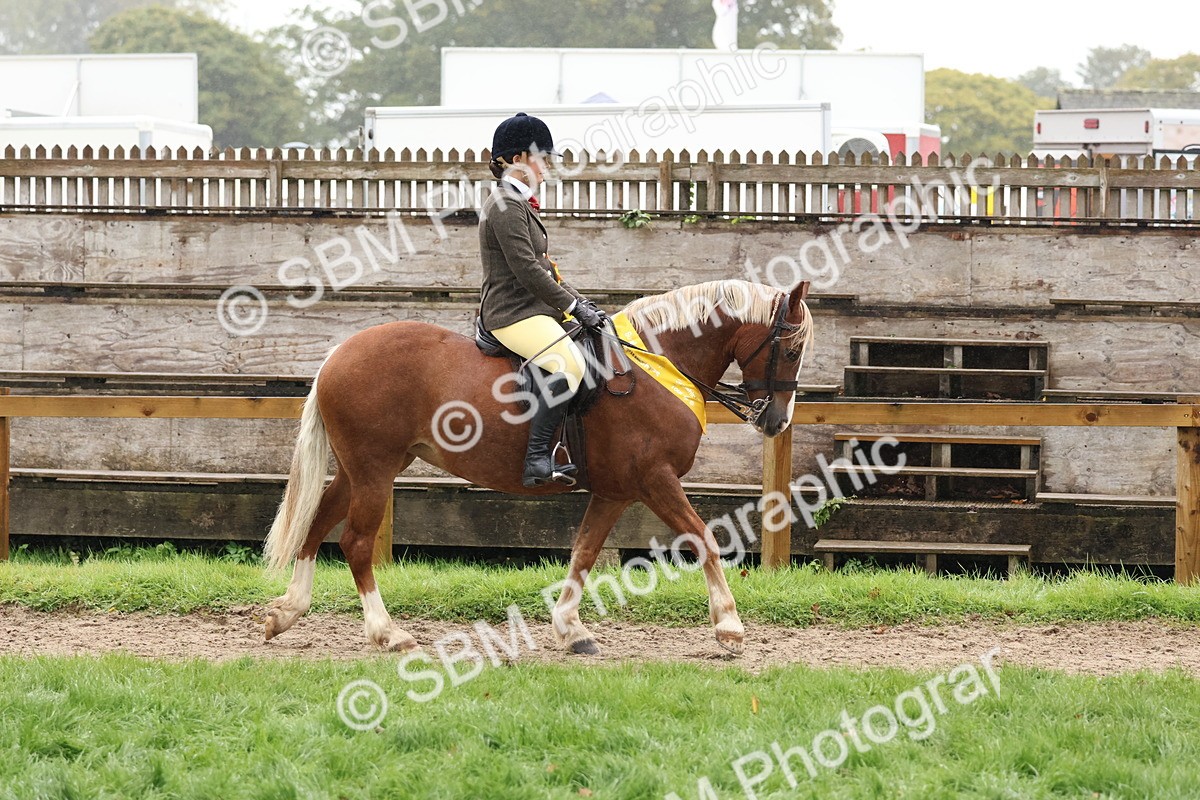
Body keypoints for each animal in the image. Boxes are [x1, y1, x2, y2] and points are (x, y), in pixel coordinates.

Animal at [261, 278, 813, 655]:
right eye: (791, 349)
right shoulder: (654, 480)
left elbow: (584, 552)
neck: (657, 366)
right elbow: (703, 539)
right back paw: (387, 633)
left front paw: (571, 630)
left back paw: (286, 612)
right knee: (356, 543)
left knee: (317, 525)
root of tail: (339, 352)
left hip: (360, 470)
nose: (776, 420)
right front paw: (729, 625)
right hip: (374, 471)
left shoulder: (616, 491)